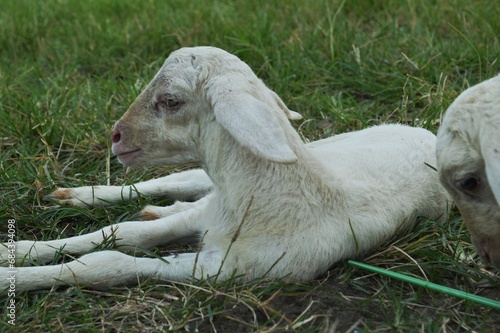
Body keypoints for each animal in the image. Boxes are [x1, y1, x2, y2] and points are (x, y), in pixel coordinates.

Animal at [0, 46, 454, 290]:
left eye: (170, 100)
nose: (115, 136)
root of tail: (424, 133)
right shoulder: (207, 219)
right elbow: (121, 233)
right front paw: (15, 251)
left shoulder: (227, 271)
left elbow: (108, 261)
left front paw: (11, 278)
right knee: (176, 182)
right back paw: (82, 195)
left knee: (180, 195)